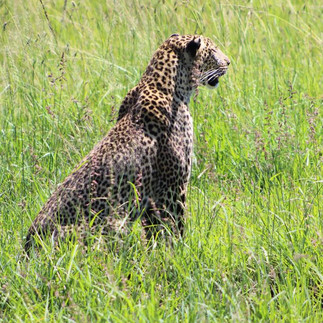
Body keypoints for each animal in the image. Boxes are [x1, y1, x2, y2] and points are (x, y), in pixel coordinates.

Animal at [25, 34, 232, 253]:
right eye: (213, 50)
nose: (228, 62)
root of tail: (28, 245)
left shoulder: (150, 199)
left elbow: (155, 234)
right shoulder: (172, 189)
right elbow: (174, 229)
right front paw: (180, 253)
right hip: (109, 223)